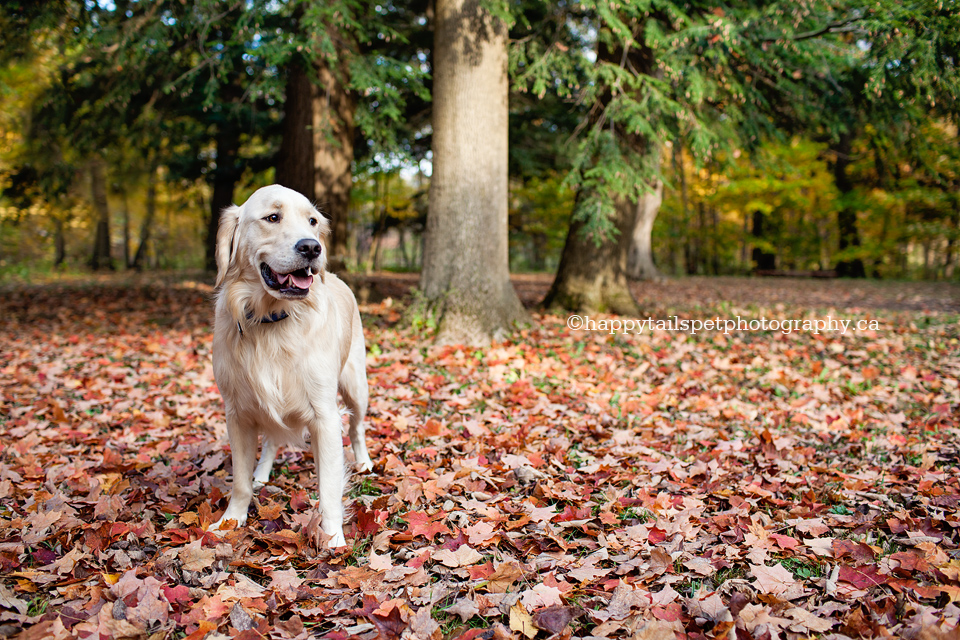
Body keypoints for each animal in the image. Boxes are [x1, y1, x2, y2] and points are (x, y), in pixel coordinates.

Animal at [211, 184, 376, 544]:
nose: (312, 247)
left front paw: (332, 537)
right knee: (272, 440)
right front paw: (231, 519)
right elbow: (240, 480)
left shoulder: (324, 416)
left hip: (356, 385)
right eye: (273, 217)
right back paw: (262, 473)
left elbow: (329, 486)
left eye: (312, 221)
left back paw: (365, 462)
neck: (272, 320)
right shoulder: (237, 412)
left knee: (357, 427)